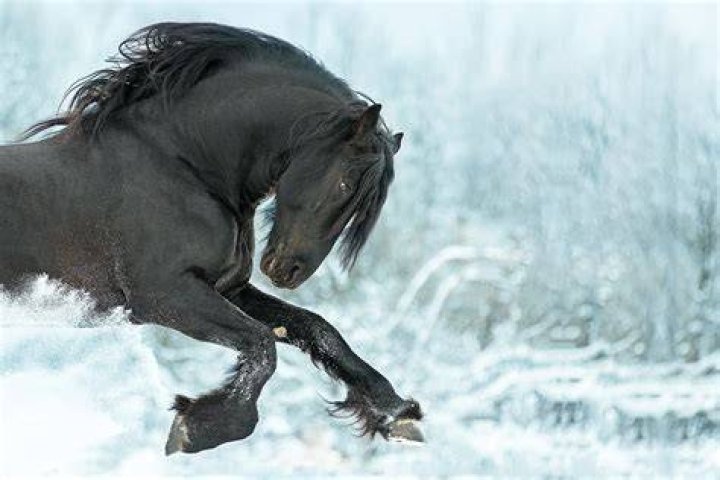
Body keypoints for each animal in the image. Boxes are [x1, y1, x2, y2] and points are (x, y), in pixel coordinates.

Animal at [0, 22, 423, 454]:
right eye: (344, 184)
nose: (288, 270)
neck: (186, 166)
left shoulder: (227, 288)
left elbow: (318, 330)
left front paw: (398, 414)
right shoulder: (163, 296)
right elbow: (262, 346)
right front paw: (196, 427)